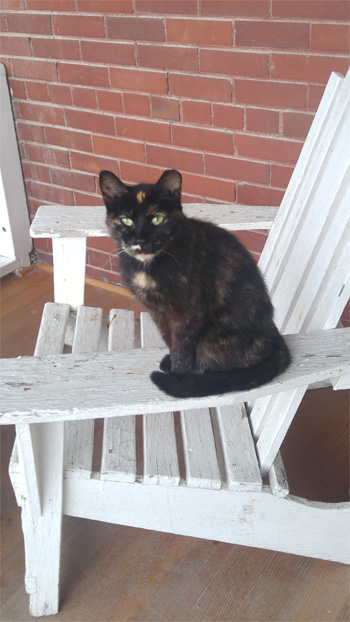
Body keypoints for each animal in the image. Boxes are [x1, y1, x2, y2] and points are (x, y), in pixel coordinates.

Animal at [100, 168, 292, 398]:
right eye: (126, 221)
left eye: (157, 219)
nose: (140, 240)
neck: (149, 266)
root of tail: (275, 334)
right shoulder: (157, 311)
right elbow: (169, 339)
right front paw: (170, 361)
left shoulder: (189, 311)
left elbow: (182, 348)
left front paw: (179, 377)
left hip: (213, 342)